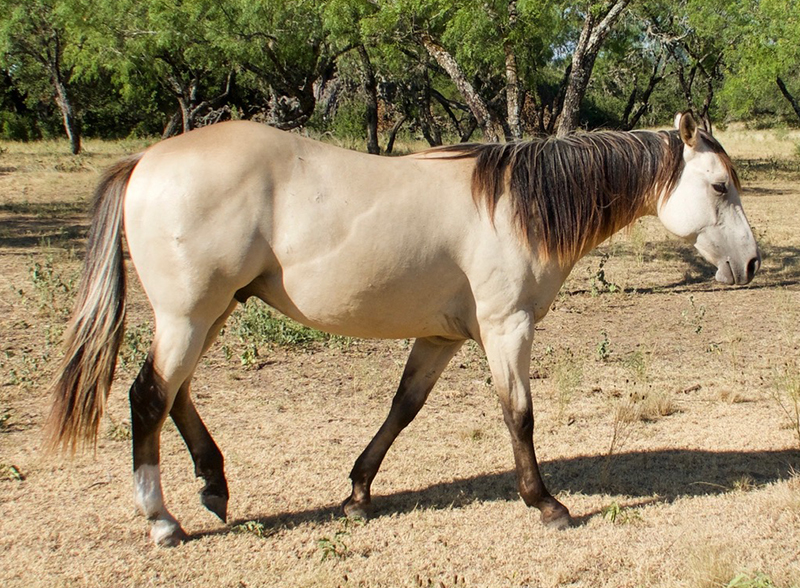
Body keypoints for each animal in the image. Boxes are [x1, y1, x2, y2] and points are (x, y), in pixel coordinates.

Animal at [43, 111, 756, 548]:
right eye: (721, 187)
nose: (749, 265)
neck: (513, 207)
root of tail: (144, 160)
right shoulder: (507, 328)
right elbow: (519, 415)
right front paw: (546, 503)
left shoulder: (441, 338)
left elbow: (403, 408)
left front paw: (358, 492)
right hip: (189, 316)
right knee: (149, 397)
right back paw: (163, 521)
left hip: (208, 314)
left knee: (176, 395)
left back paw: (214, 487)